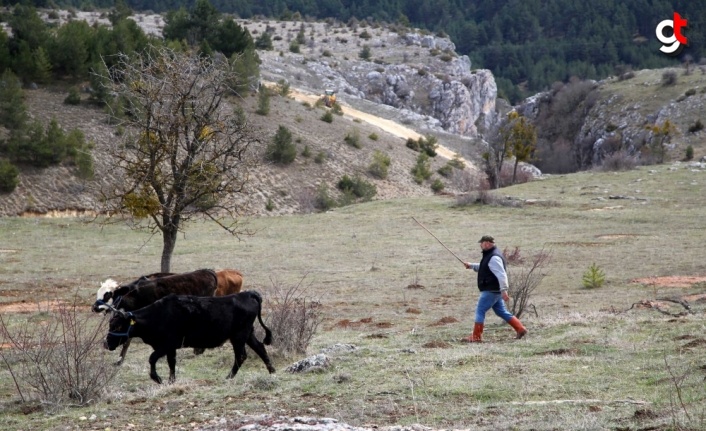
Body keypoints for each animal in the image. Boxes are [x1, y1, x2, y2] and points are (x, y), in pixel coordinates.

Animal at [104, 290, 276, 384]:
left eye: (117, 326)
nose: (106, 344)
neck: (157, 315)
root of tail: (248, 294)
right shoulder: (171, 348)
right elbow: (171, 363)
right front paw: (171, 381)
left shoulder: (166, 344)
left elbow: (152, 358)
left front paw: (158, 379)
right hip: (248, 334)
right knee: (260, 348)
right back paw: (272, 372)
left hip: (239, 336)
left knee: (241, 356)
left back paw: (228, 377)